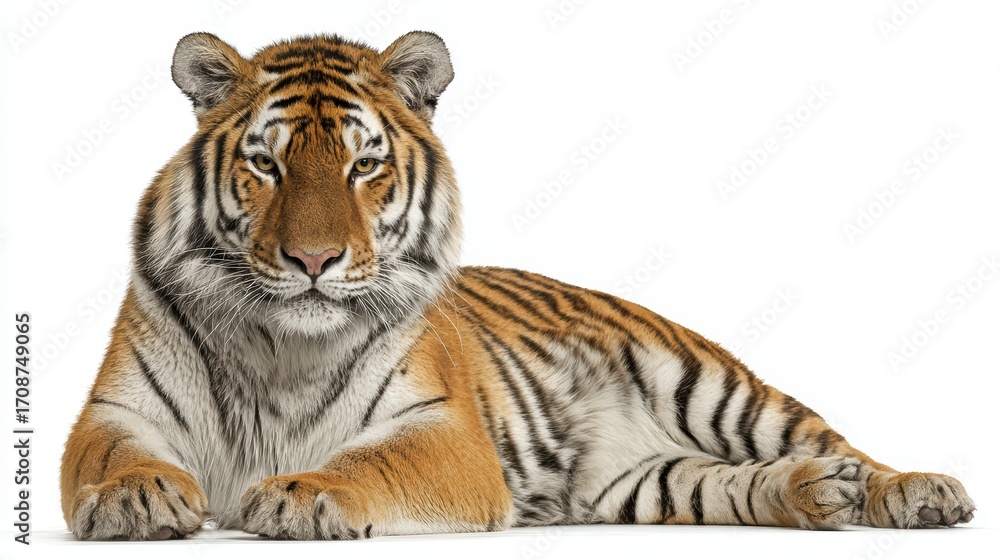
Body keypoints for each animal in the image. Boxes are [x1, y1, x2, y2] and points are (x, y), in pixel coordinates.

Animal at [60, 31, 975, 541]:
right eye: (268, 164)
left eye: (363, 166)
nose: (313, 261)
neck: (285, 345)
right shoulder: (115, 411)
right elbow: (113, 456)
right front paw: (134, 497)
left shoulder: (444, 432)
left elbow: (368, 458)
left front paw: (300, 494)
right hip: (634, 486)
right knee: (727, 481)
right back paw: (815, 495)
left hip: (714, 386)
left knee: (834, 441)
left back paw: (913, 491)